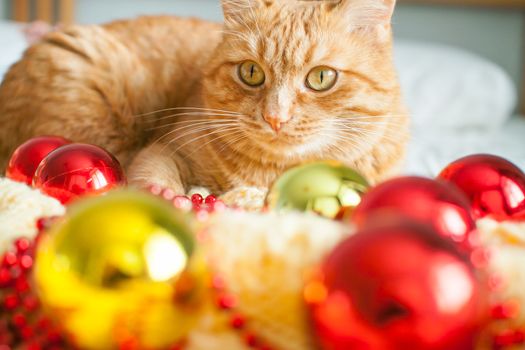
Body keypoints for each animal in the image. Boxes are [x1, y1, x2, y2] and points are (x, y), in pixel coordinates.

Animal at [0, 0, 410, 194]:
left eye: (321, 78)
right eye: (251, 72)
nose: (275, 117)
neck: (272, 174)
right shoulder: (162, 150)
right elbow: (156, 180)